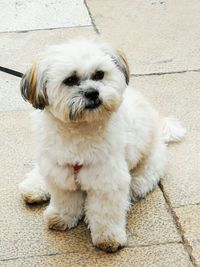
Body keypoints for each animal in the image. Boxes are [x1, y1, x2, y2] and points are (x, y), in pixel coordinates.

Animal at [18, 38, 186, 253]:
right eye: (70, 80)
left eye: (99, 74)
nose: (92, 92)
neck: (80, 129)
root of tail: (159, 122)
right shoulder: (60, 172)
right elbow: (65, 200)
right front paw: (61, 218)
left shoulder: (106, 179)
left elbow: (104, 211)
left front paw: (108, 237)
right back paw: (34, 187)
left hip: (149, 161)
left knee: (143, 178)